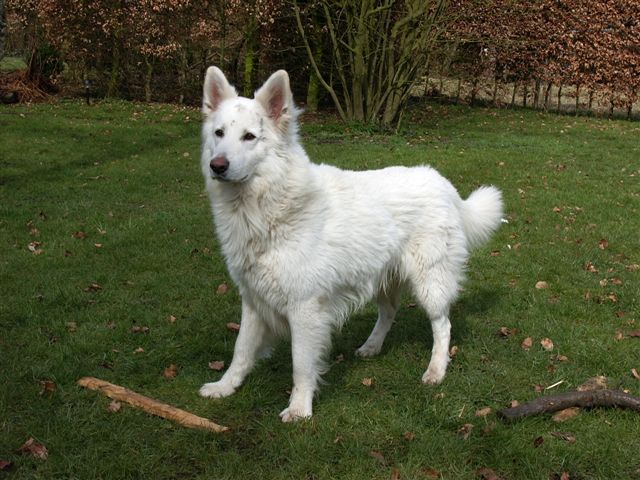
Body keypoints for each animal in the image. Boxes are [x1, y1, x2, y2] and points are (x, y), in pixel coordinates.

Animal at [198, 66, 502, 420]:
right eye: (219, 133)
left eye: (249, 137)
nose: (217, 166)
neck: (266, 207)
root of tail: (445, 185)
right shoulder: (253, 300)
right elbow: (241, 351)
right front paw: (225, 387)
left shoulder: (305, 309)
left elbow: (301, 365)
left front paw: (299, 408)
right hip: (383, 278)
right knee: (389, 313)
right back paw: (372, 346)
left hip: (430, 284)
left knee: (443, 325)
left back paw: (436, 370)